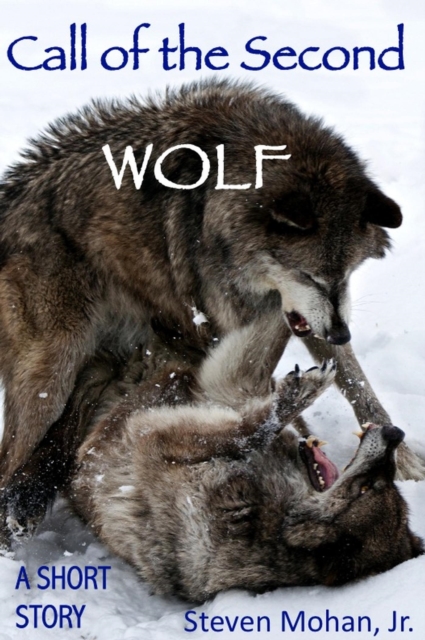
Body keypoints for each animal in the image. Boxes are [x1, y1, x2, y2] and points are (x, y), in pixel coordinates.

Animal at [0, 79, 422, 544]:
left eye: (347, 273)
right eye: (307, 274)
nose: (341, 334)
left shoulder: (306, 317)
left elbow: (358, 386)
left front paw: (405, 462)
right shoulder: (239, 323)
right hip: (50, 376)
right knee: (11, 458)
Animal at [62, 318, 422, 602]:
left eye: (370, 487)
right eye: (382, 484)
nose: (395, 433)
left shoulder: (153, 437)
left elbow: (248, 430)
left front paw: (295, 395)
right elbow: (255, 426)